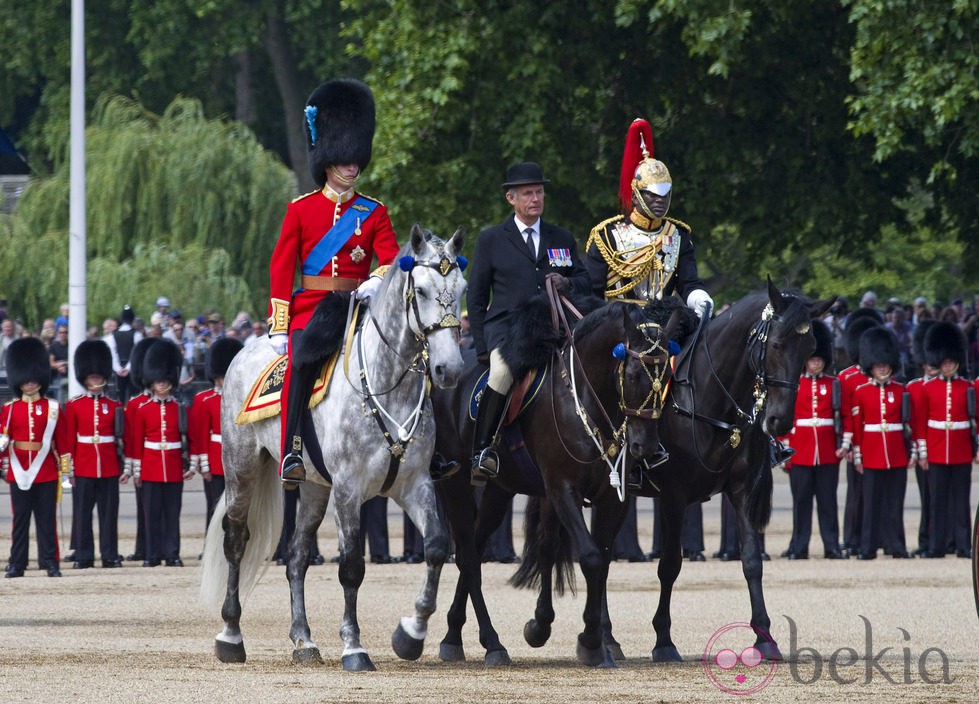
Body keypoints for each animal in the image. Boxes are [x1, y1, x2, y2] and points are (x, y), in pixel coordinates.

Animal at [432, 292, 692, 664]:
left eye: (665, 376)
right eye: (631, 374)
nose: (646, 447)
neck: (586, 399)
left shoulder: (610, 497)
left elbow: (595, 558)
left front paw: (573, 633)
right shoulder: (561, 489)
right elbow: (590, 557)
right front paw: (592, 642)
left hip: (499, 492)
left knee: (476, 551)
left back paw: (456, 634)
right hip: (454, 486)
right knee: (467, 555)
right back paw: (490, 642)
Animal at [516, 278, 832, 664]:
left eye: (809, 348)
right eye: (775, 344)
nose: (779, 421)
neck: (711, 400)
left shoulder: (743, 489)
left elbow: (751, 561)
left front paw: (764, 637)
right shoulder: (674, 497)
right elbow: (669, 565)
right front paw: (664, 640)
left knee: (595, 555)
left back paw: (602, 638)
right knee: (572, 551)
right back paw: (583, 635)